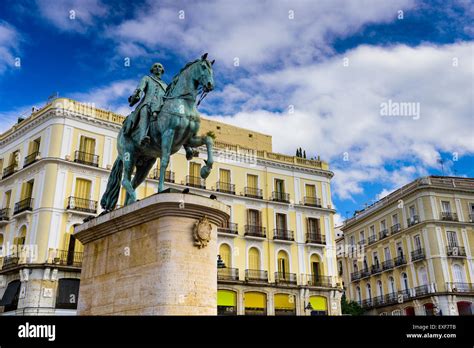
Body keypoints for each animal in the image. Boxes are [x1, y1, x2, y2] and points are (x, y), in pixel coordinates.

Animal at [102, 53, 217, 211]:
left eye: (212, 69)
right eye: (203, 67)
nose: (210, 85)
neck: (184, 103)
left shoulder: (189, 139)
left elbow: (208, 140)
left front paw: (205, 170)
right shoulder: (168, 134)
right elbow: (164, 161)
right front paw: (162, 189)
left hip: (146, 163)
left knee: (133, 182)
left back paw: (129, 205)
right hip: (128, 154)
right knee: (125, 181)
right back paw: (133, 199)